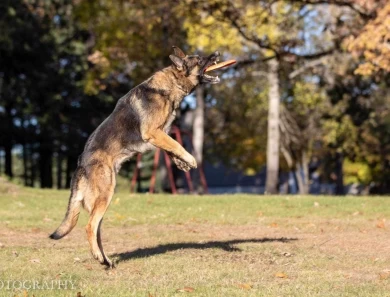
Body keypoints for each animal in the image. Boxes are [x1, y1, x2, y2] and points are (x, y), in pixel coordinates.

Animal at [50, 46, 221, 268]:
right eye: (199, 60)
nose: (217, 53)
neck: (170, 84)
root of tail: (80, 164)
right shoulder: (153, 132)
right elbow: (176, 144)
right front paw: (190, 159)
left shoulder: (161, 133)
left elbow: (171, 147)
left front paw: (181, 163)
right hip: (105, 195)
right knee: (89, 227)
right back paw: (99, 257)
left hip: (101, 202)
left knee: (96, 229)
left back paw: (105, 260)